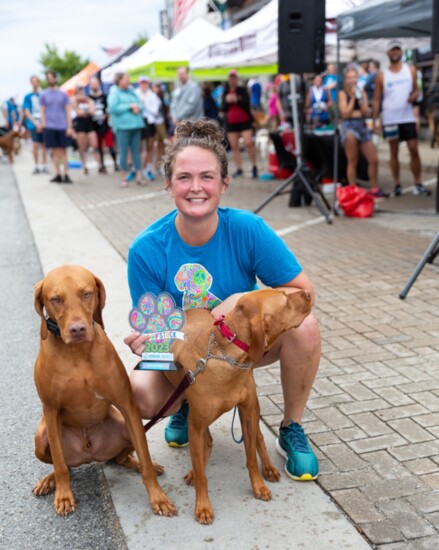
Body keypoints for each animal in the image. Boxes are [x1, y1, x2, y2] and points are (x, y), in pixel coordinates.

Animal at [33, 266, 176, 520]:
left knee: (123, 457)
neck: (78, 354)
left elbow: (145, 456)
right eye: (56, 299)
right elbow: (59, 464)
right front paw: (63, 495)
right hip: (41, 438)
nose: (78, 330)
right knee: (64, 465)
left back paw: (140, 464)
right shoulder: (50, 410)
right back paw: (50, 481)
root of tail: (90, 454)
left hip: (126, 427)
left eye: (87, 294)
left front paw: (158, 497)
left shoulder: (127, 406)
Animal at [167, 288, 312, 528]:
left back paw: (269, 467)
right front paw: (203, 505)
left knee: (258, 437)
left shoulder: (247, 411)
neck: (226, 356)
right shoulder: (195, 424)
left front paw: (258, 486)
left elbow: (251, 457)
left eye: (284, 292)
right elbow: (202, 472)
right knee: (206, 444)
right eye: (285, 300)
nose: (309, 293)